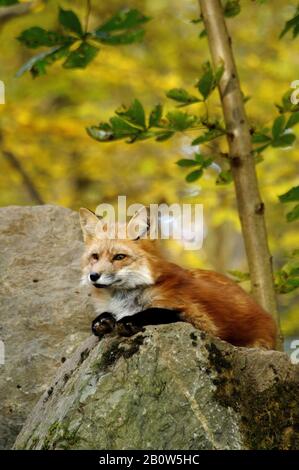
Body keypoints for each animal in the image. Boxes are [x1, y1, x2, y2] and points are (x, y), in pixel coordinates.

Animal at [78, 207, 278, 348]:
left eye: (119, 257)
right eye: (95, 257)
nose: (93, 276)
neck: (124, 301)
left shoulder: (201, 320)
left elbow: (155, 312)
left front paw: (128, 321)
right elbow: (101, 319)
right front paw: (103, 320)